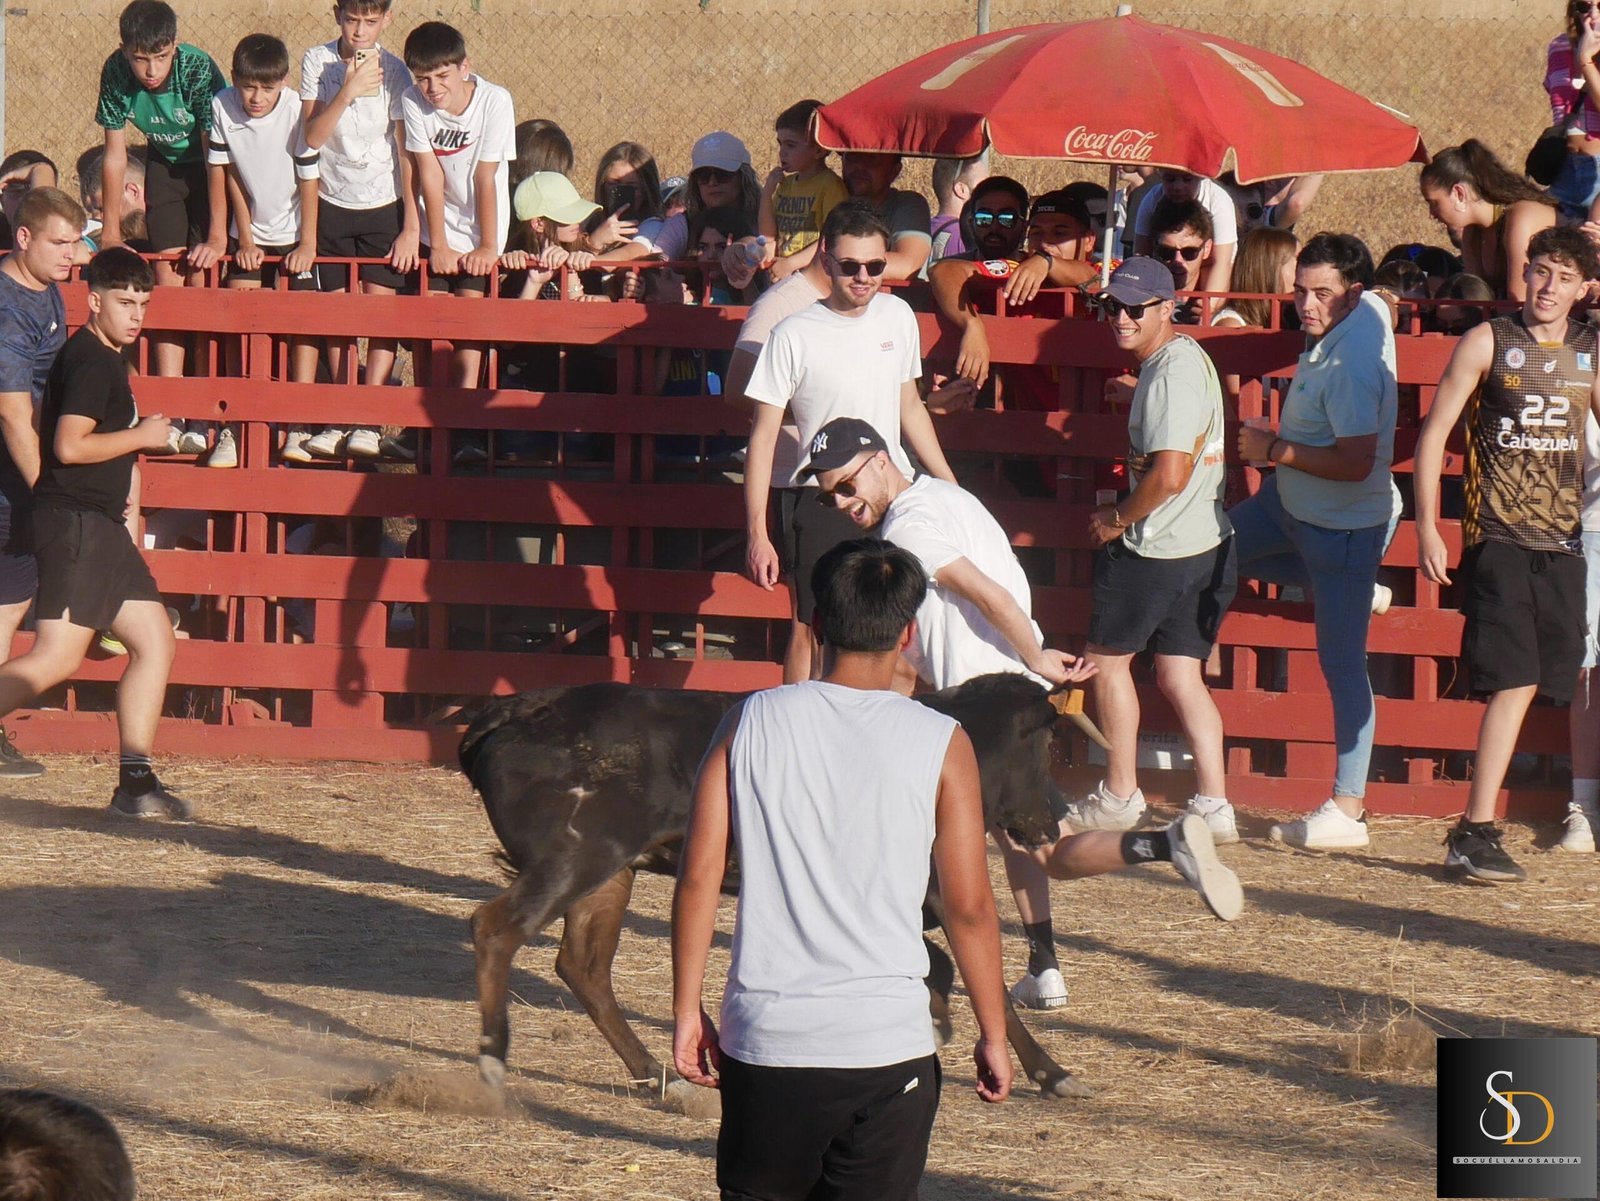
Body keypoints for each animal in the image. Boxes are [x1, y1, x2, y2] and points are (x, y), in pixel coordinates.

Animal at [460, 672, 1093, 1103]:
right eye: (1044, 746)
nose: (1056, 818)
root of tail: (514, 708)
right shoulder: (936, 892)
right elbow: (980, 980)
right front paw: (1052, 1073)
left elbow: (936, 964)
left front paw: (933, 1022)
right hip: (576, 860)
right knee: (495, 930)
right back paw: (493, 1057)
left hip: (609, 876)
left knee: (583, 967)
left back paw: (659, 1077)